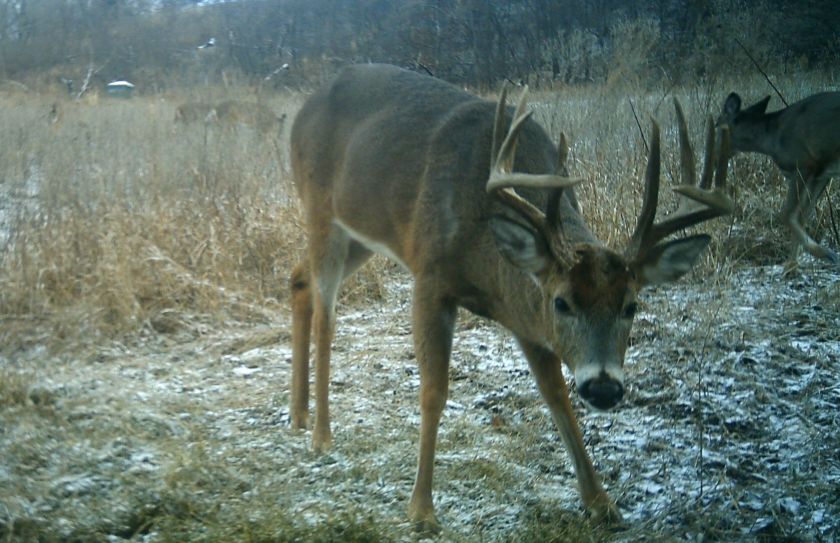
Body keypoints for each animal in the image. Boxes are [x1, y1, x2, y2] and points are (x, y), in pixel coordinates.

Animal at [288, 65, 728, 532]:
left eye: (631, 306)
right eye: (562, 302)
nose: (605, 388)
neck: (487, 260)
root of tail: (306, 106)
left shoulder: (524, 320)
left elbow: (557, 396)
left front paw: (601, 502)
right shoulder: (430, 277)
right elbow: (434, 391)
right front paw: (422, 510)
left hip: (361, 234)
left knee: (298, 280)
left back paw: (298, 415)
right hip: (321, 211)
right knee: (326, 313)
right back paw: (321, 434)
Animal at [716, 92, 840, 276]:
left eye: (716, 126)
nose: (714, 154)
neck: (772, 139)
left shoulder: (804, 163)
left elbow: (786, 214)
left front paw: (826, 254)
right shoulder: (821, 174)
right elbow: (801, 216)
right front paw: (791, 268)